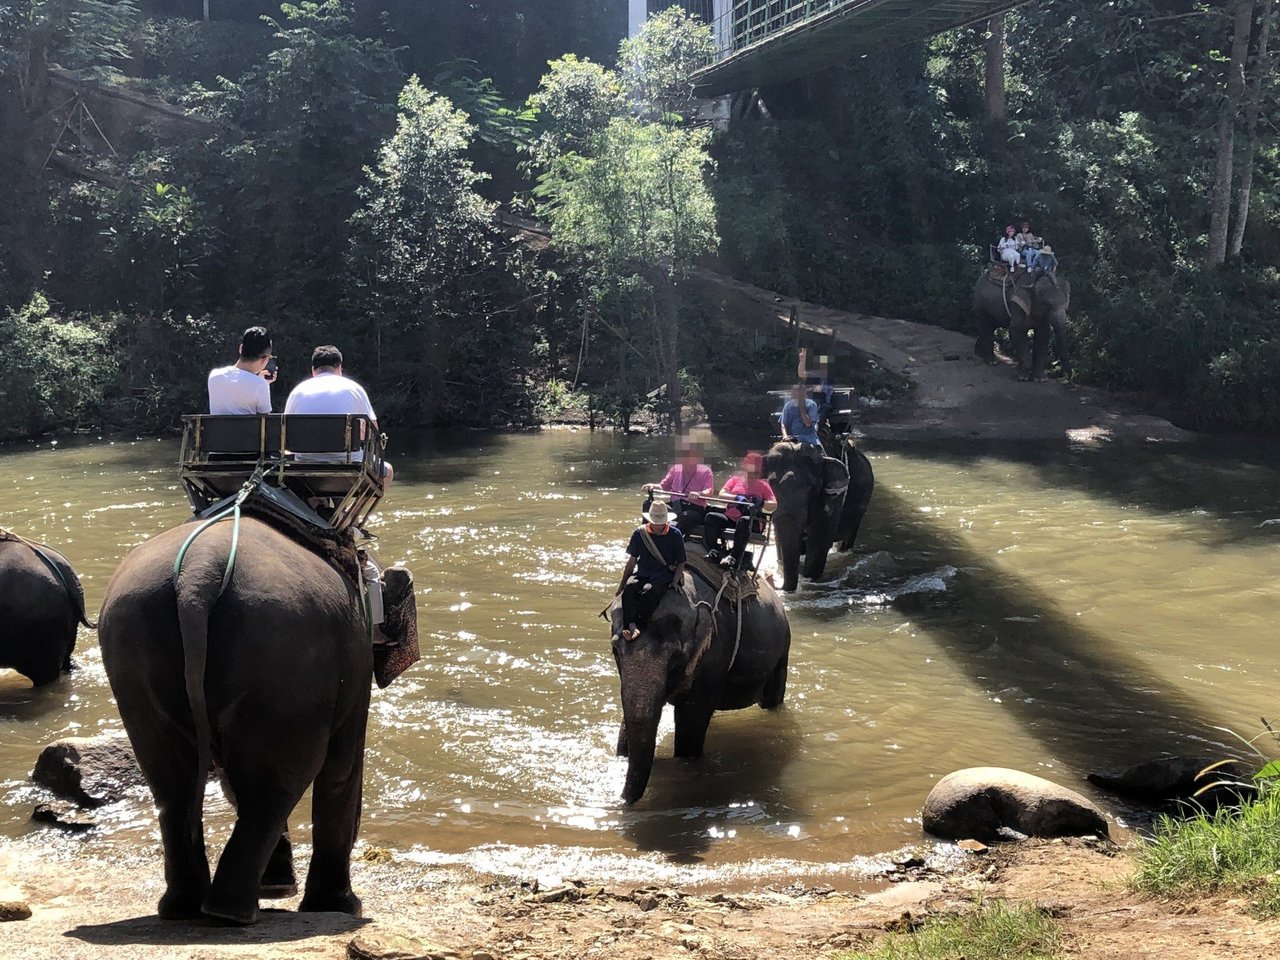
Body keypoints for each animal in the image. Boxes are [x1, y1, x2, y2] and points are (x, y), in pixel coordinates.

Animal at [99, 519, 412, 931]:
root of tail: (199, 572)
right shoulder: (354, 659)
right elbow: (342, 768)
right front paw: (341, 907)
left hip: (133, 648)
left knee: (172, 782)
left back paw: (186, 908)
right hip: (285, 656)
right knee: (280, 781)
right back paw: (232, 912)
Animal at [609, 568, 788, 808]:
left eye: (676, 657)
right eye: (615, 651)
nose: (622, 801)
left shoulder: (714, 653)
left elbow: (691, 724)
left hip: (782, 650)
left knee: (772, 699)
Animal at [757, 440, 870, 591]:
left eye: (811, 489)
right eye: (770, 486)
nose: (772, 580)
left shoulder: (833, 497)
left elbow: (818, 542)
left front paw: (808, 579)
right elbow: (782, 541)